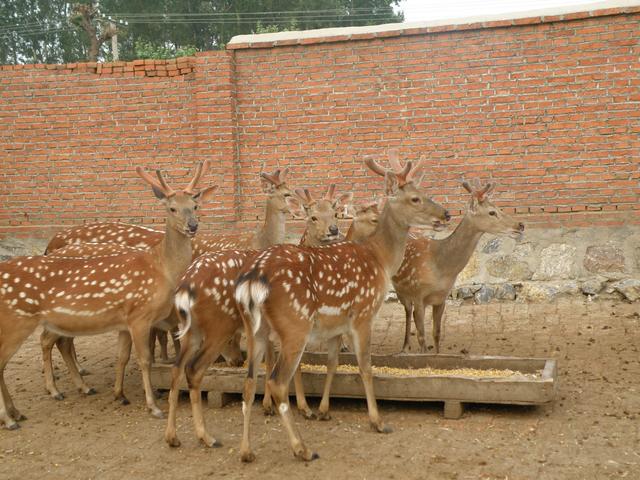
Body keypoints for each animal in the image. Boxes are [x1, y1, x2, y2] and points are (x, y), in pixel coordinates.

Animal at [0, 160, 216, 428]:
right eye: (172, 208)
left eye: (195, 206)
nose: (193, 225)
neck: (162, 269)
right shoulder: (140, 316)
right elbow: (144, 360)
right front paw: (153, 406)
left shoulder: (124, 321)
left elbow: (122, 356)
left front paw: (120, 395)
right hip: (17, 321)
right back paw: (13, 416)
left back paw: (20, 410)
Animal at [162, 185, 352, 450]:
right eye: (312, 217)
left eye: (335, 213)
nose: (334, 231)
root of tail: (186, 284)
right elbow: (286, 365)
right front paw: (299, 408)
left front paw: (276, 405)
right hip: (217, 327)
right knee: (192, 368)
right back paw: (206, 436)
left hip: (192, 329)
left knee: (177, 368)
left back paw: (173, 436)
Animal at [234, 155, 450, 462]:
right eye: (415, 198)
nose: (446, 214)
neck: (380, 260)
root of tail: (252, 279)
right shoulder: (363, 313)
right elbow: (366, 367)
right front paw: (378, 422)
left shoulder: (337, 325)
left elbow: (333, 363)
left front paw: (325, 411)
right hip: (294, 324)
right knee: (277, 382)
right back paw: (302, 449)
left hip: (255, 329)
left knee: (249, 382)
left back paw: (246, 451)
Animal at [396, 180, 524, 352]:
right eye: (492, 212)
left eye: (499, 207)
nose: (520, 225)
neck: (441, 266)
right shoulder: (418, 294)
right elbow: (422, 337)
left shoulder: (442, 297)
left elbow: (436, 334)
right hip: (400, 289)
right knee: (407, 311)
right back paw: (404, 348)